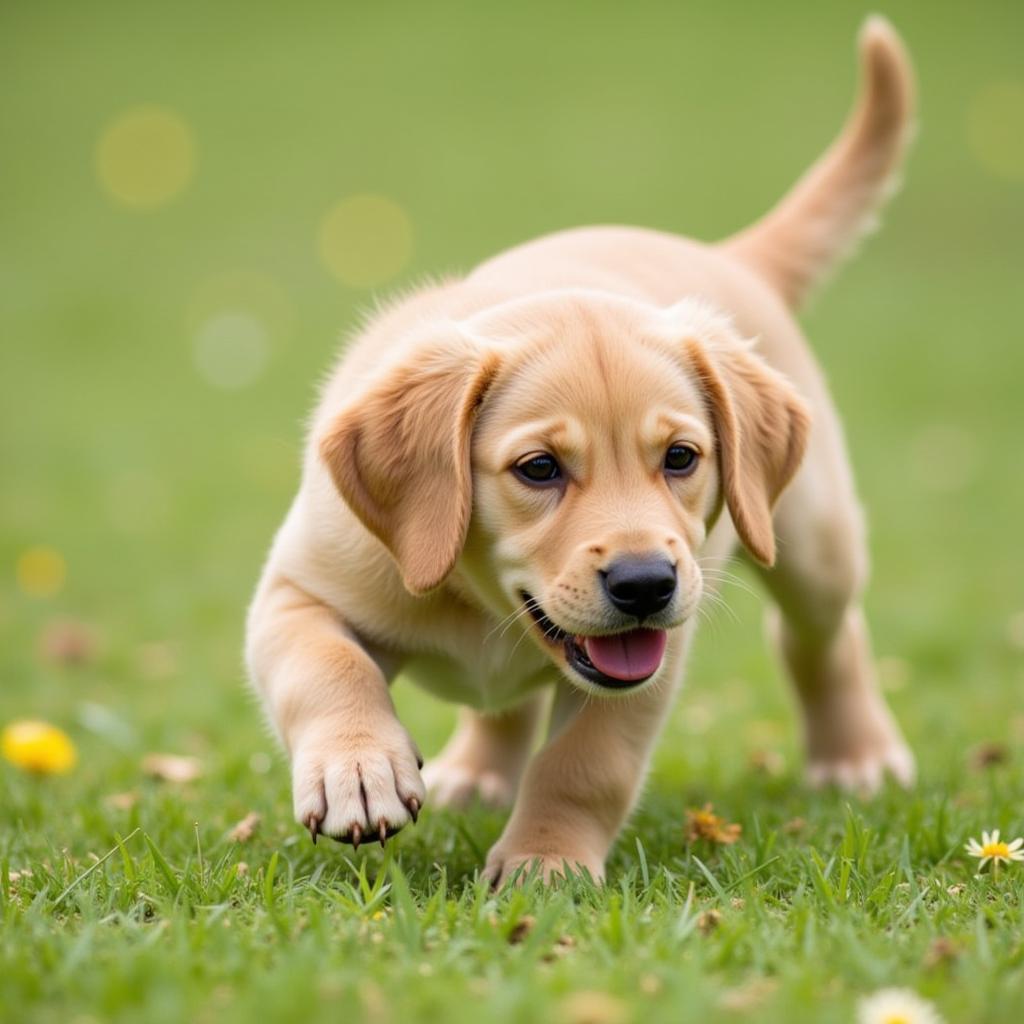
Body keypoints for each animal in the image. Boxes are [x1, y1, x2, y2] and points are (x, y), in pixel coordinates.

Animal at [249, 16, 921, 884]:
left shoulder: (649, 666)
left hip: (812, 539)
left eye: (681, 458)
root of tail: (725, 256)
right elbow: (326, 666)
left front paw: (546, 860)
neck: (479, 602)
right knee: (509, 704)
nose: (645, 584)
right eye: (539, 469)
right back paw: (477, 770)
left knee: (823, 635)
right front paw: (357, 769)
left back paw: (856, 756)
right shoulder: (296, 588)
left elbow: (586, 762)